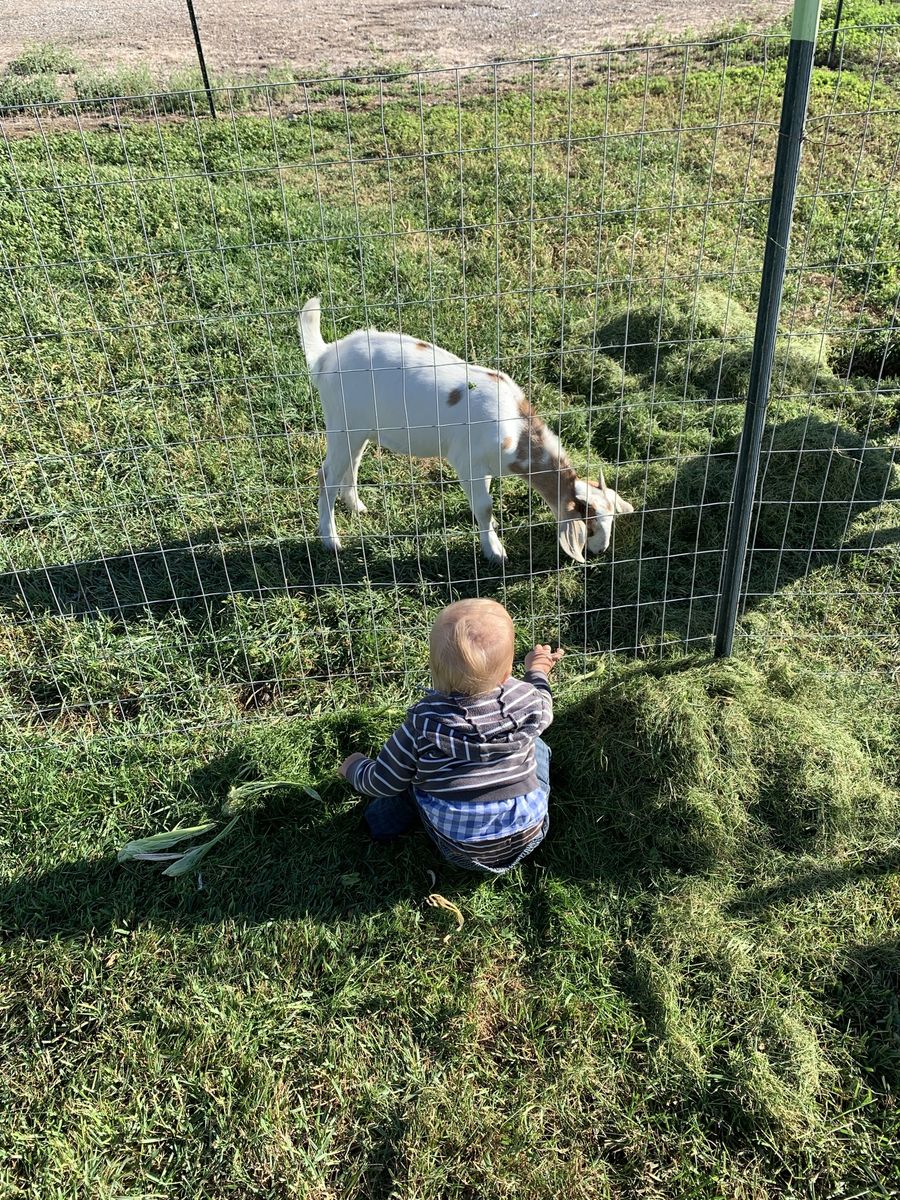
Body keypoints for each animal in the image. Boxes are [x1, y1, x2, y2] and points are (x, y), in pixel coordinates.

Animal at [299, 297, 633, 563]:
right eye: (590, 525)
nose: (600, 551)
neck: (516, 430)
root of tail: (326, 356)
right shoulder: (467, 461)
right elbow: (484, 507)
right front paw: (495, 551)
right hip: (342, 424)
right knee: (326, 475)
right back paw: (331, 540)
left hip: (360, 428)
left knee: (351, 464)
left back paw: (356, 506)